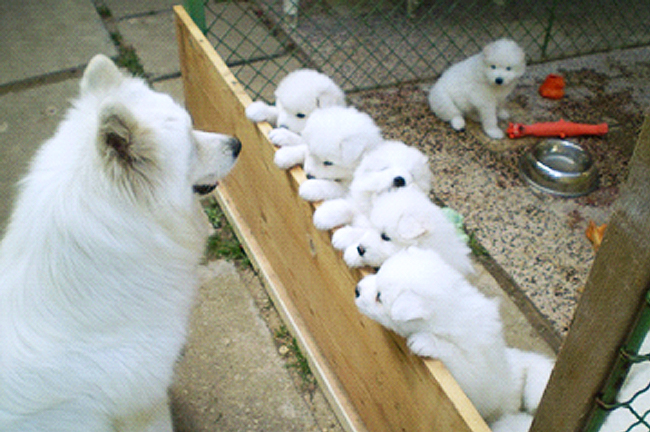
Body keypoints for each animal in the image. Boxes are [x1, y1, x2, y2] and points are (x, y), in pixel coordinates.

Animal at [354, 246, 552, 428]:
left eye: (379, 297)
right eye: (378, 271)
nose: (357, 289)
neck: (451, 310)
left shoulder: (471, 372)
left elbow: (454, 355)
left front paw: (424, 342)